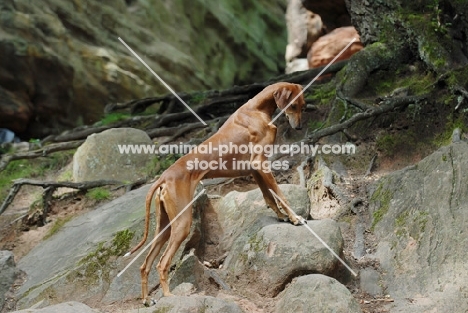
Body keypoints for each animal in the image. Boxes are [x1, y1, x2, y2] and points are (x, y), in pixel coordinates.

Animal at [126, 81, 306, 304]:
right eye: (293, 105)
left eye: (303, 106)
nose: (299, 127)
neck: (257, 109)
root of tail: (164, 177)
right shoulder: (261, 164)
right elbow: (281, 195)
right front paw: (295, 218)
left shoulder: (255, 169)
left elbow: (269, 197)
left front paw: (281, 216)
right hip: (182, 224)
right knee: (162, 263)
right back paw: (169, 296)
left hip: (165, 227)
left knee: (145, 265)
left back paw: (146, 299)